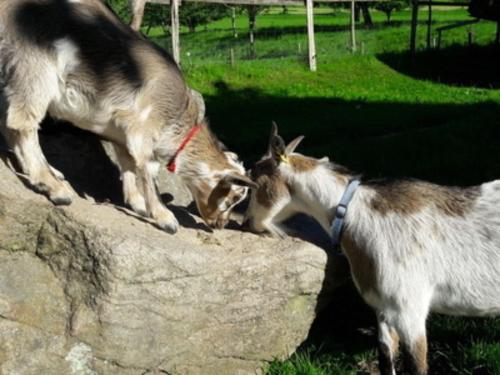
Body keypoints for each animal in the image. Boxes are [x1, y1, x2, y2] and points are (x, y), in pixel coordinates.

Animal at [0, 0, 254, 234]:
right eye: (233, 197)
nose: (220, 225)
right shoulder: (143, 128)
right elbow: (148, 169)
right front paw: (164, 217)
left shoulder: (120, 132)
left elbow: (127, 164)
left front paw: (137, 203)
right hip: (33, 63)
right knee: (22, 123)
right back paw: (54, 187)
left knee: (8, 124)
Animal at [246, 125, 500, 375]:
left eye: (253, 178)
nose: (246, 222)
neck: (353, 212)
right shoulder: (383, 309)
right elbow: (385, 358)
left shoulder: (409, 310)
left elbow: (416, 366)